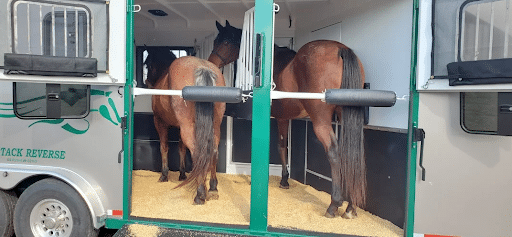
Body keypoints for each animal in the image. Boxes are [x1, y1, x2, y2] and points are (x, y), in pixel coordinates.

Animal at [142, 19, 242, 204]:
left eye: (148, 64)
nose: (147, 82)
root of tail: (202, 67)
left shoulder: (160, 122)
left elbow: (164, 147)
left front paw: (164, 175)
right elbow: (181, 148)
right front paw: (182, 174)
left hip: (187, 126)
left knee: (197, 151)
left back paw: (200, 193)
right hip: (215, 125)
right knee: (213, 151)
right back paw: (213, 188)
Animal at [270, 40, 366, 218]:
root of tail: (341, 49)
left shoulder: (281, 119)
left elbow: (281, 146)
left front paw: (284, 180)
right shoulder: (285, 118)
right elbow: (284, 147)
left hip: (321, 121)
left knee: (334, 152)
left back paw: (334, 205)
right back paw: (351, 208)